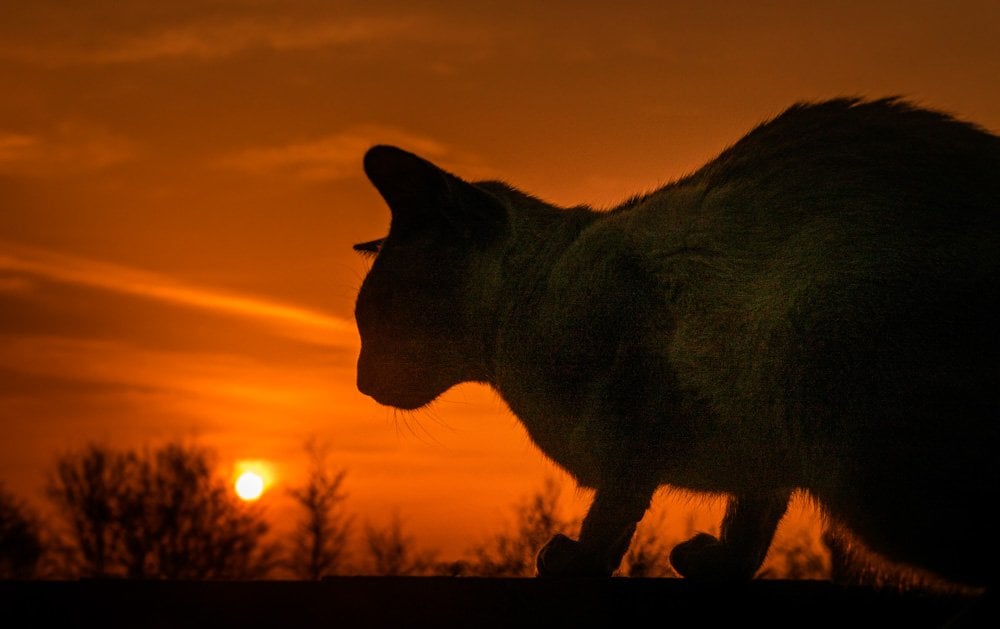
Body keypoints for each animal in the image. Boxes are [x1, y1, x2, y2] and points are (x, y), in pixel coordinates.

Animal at [348, 98, 996, 588]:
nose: (360, 382)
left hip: (864, 469)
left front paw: (577, 562)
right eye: (363, 320)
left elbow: (615, 510)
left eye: (379, 315)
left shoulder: (637, 406)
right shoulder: (759, 454)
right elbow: (751, 519)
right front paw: (720, 567)